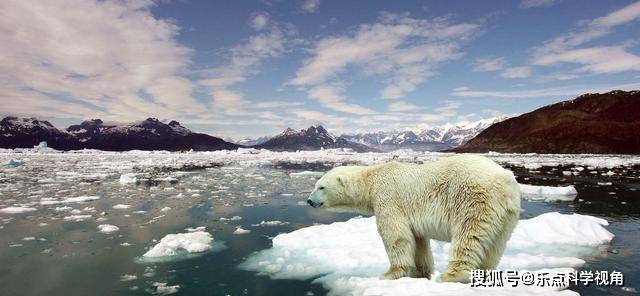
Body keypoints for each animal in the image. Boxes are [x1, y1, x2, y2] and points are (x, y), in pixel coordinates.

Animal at [308, 155, 524, 282]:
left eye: (321, 187)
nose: (309, 201)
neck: (371, 179)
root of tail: (506, 181)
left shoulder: (388, 197)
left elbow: (395, 235)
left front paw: (390, 274)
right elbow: (418, 240)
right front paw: (420, 272)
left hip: (474, 199)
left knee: (468, 236)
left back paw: (450, 275)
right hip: (506, 215)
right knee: (495, 245)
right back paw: (484, 274)